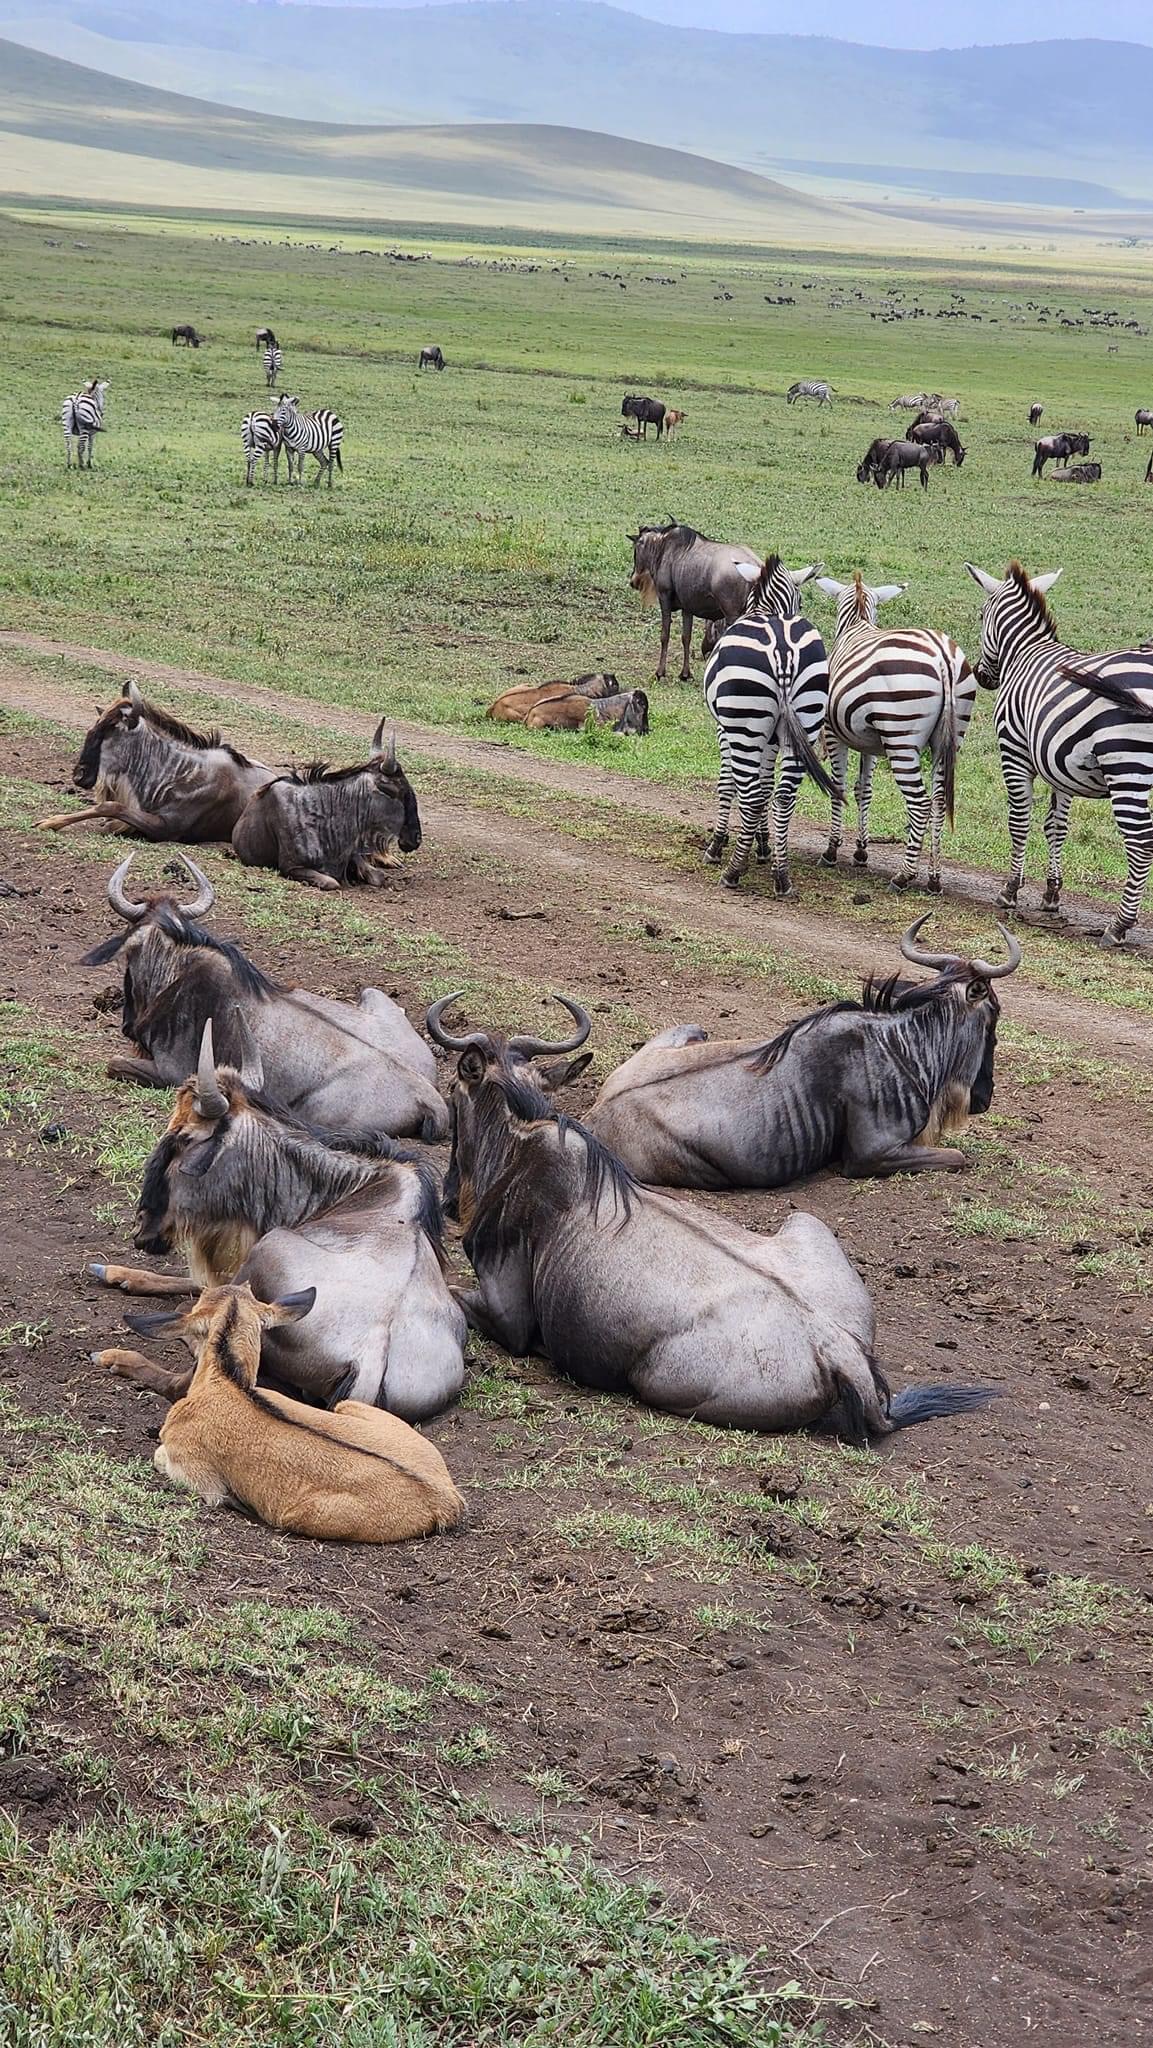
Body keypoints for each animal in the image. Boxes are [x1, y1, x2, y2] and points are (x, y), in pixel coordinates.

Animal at [704, 552, 839, 897]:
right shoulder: (774, 737)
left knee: (750, 795)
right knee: (784, 795)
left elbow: (728, 784)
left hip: (744, 725)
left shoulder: (724, 729)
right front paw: (764, 846)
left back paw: (733, 871)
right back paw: (781, 875)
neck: (767, 609)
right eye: (801, 600)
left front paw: (718, 844)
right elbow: (766, 786)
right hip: (805, 720)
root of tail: (783, 650)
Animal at [815, 577, 978, 897]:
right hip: (948, 740)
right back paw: (934, 879)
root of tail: (943, 657)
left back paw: (903, 876)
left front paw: (831, 850)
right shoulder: (869, 742)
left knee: (920, 803)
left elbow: (838, 786)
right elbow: (863, 791)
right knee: (938, 801)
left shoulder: (833, 732)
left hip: (901, 737)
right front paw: (860, 851)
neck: (857, 623)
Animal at [966, 561, 1153, 942]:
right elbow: (1056, 825)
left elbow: (1020, 820)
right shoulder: (1061, 763)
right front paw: (1051, 894)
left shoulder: (1014, 750)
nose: (982, 676)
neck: (1025, 652)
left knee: (1142, 844)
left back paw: (1119, 925)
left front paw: (1010, 889)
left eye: (980, 614)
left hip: (1126, 766)